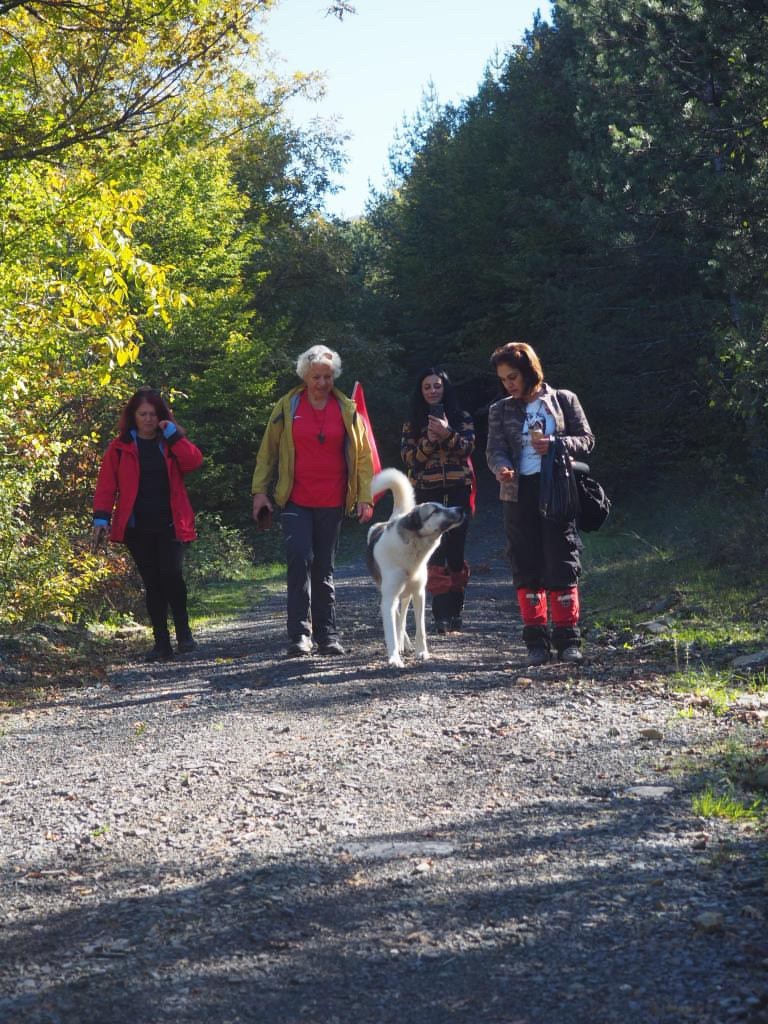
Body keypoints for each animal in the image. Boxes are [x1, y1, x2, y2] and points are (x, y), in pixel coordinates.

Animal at [370, 468, 466, 667]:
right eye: (435, 511)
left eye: (443, 505)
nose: (461, 508)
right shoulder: (388, 599)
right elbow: (391, 630)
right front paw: (394, 658)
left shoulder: (419, 593)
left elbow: (420, 627)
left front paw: (422, 652)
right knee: (398, 617)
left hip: (406, 595)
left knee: (402, 618)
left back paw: (404, 643)